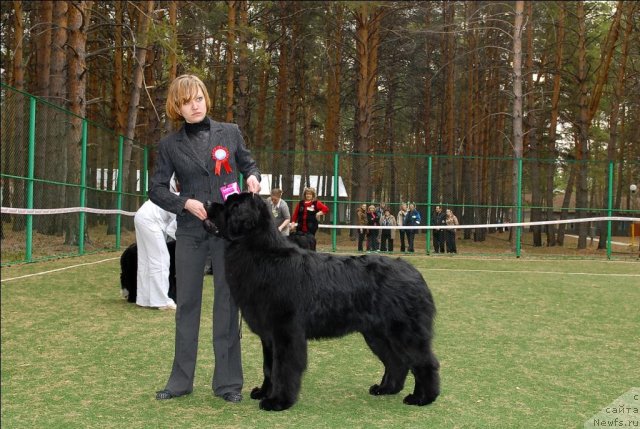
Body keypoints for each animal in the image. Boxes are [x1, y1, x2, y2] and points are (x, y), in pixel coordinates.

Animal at [205, 192, 440, 410]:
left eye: (230, 205)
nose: (207, 203)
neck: (262, 253)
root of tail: (414, 273)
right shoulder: (269, 335)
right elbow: (268, 367)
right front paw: (264, 392)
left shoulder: (286, 331)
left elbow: (283, 367)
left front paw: (278, 401)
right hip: (377, 334)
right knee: (396, 361)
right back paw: (385, 388)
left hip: (405, 332)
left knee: (425, 362)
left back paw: (422, 398)